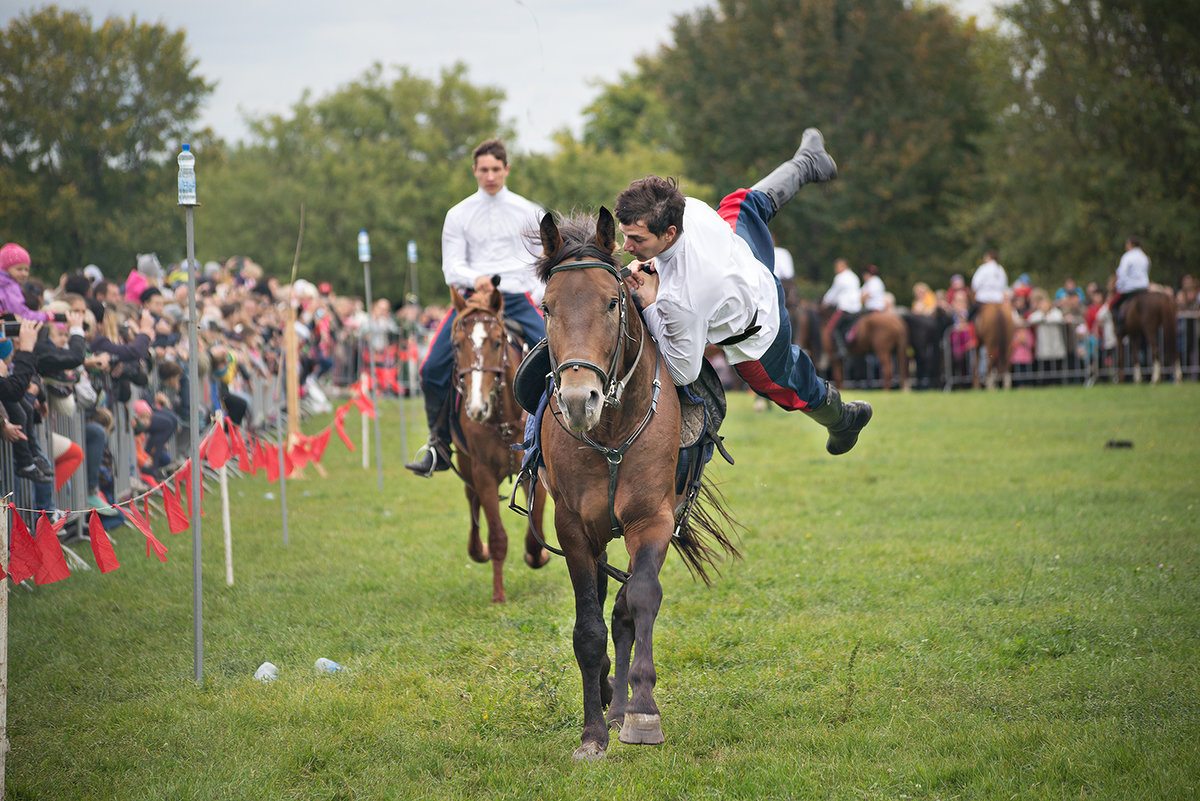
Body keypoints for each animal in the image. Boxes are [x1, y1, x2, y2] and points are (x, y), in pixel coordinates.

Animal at [446, 284, 549, 604]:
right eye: (456, 346)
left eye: (496, 342)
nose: (476, 407)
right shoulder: (483, 472)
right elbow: (498, 536)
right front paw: (499, 596)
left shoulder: (534, 469)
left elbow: (534, 530)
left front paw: (538, 555)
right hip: (466, 462)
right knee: (471, 497)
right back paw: (477, 550)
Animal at [537, 209, 739, 762]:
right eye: (547, 306)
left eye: (612, 301)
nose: (579, 399)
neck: (609, 432)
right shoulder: (573, 529)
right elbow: (587, 629)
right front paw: (592, 734)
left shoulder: (651, 520)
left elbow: (642, 601)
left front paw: (642, 712)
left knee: (626, 610)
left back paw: (623, 703)